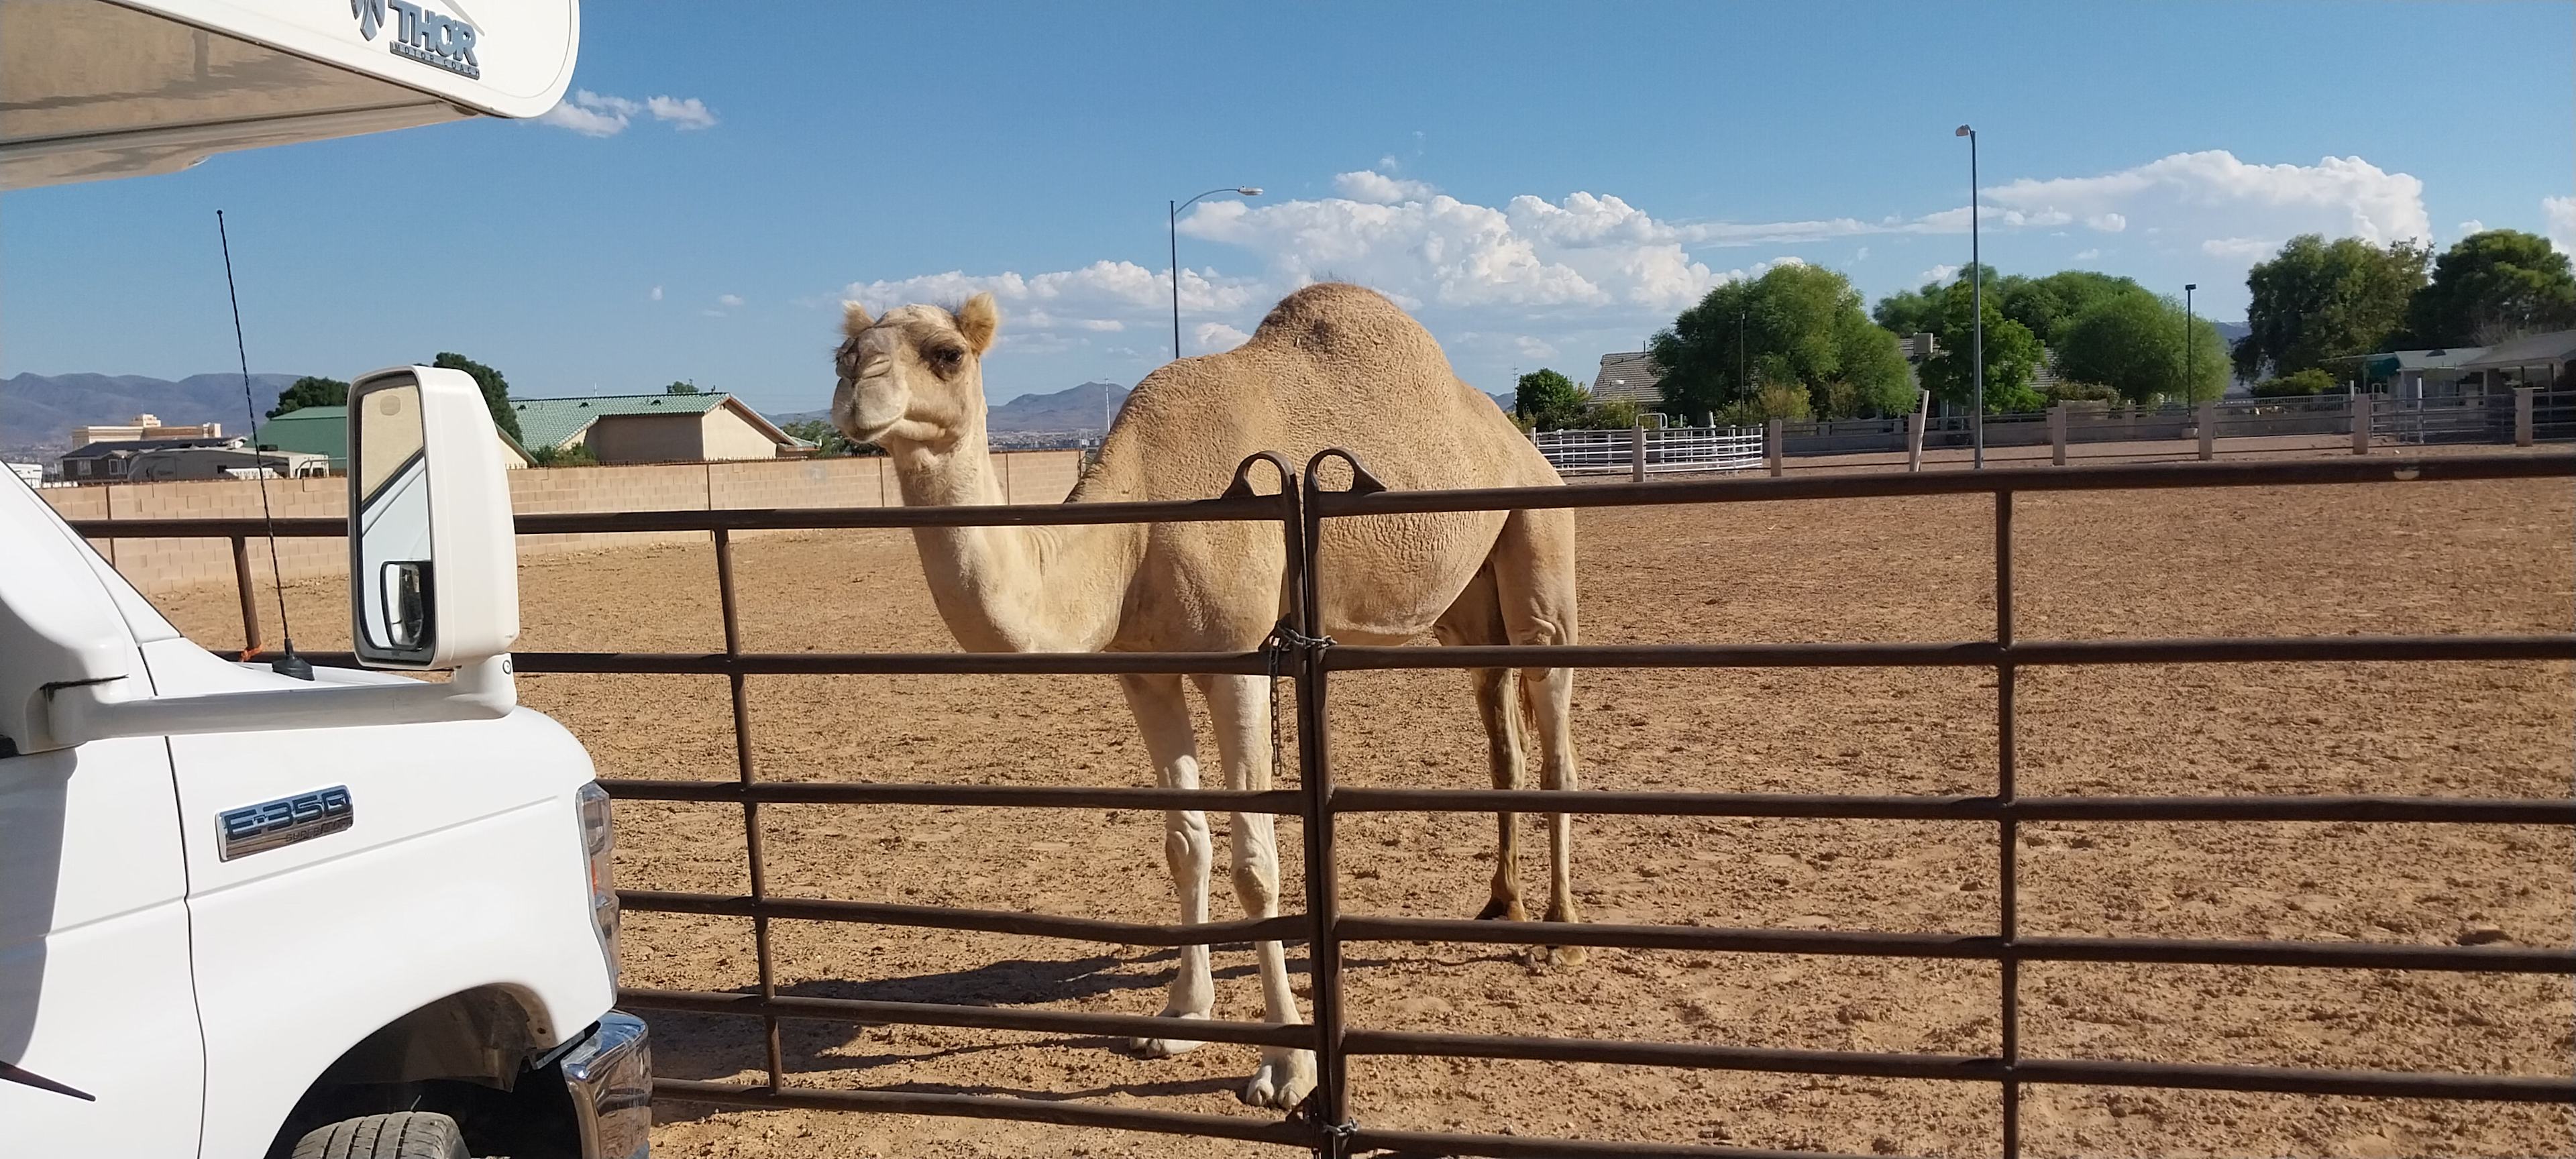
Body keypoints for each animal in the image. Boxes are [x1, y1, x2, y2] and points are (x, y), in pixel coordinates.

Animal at [828, 282, 1582, 1110]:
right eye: (841, 352)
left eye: (947, 354)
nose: (856, 385)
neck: (1135, 532)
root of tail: (1526, 446)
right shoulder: (1146, 670)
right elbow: (1184, 845)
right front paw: (1179, 1018)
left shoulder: (1238, 660)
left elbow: (1256, 864)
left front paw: (1286, 1066)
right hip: (1468, 610)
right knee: (1501, 731)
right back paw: (1501, 905)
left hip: (1540, 543)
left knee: (1555, 733)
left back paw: (1561, 934)